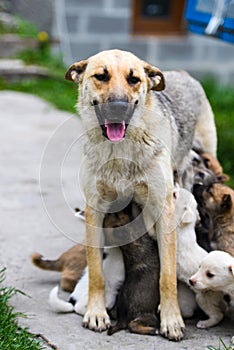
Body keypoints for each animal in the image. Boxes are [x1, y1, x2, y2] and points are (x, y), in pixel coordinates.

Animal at [65, 48, 217, 340]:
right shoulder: (95, 210)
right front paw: (96, 313)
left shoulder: (163, 209)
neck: (120, 150)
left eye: (134, 79)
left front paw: (171, 320)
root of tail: (183, 73)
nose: (118, 106)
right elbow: (97, 273)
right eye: (101, 76)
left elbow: (166, 276)